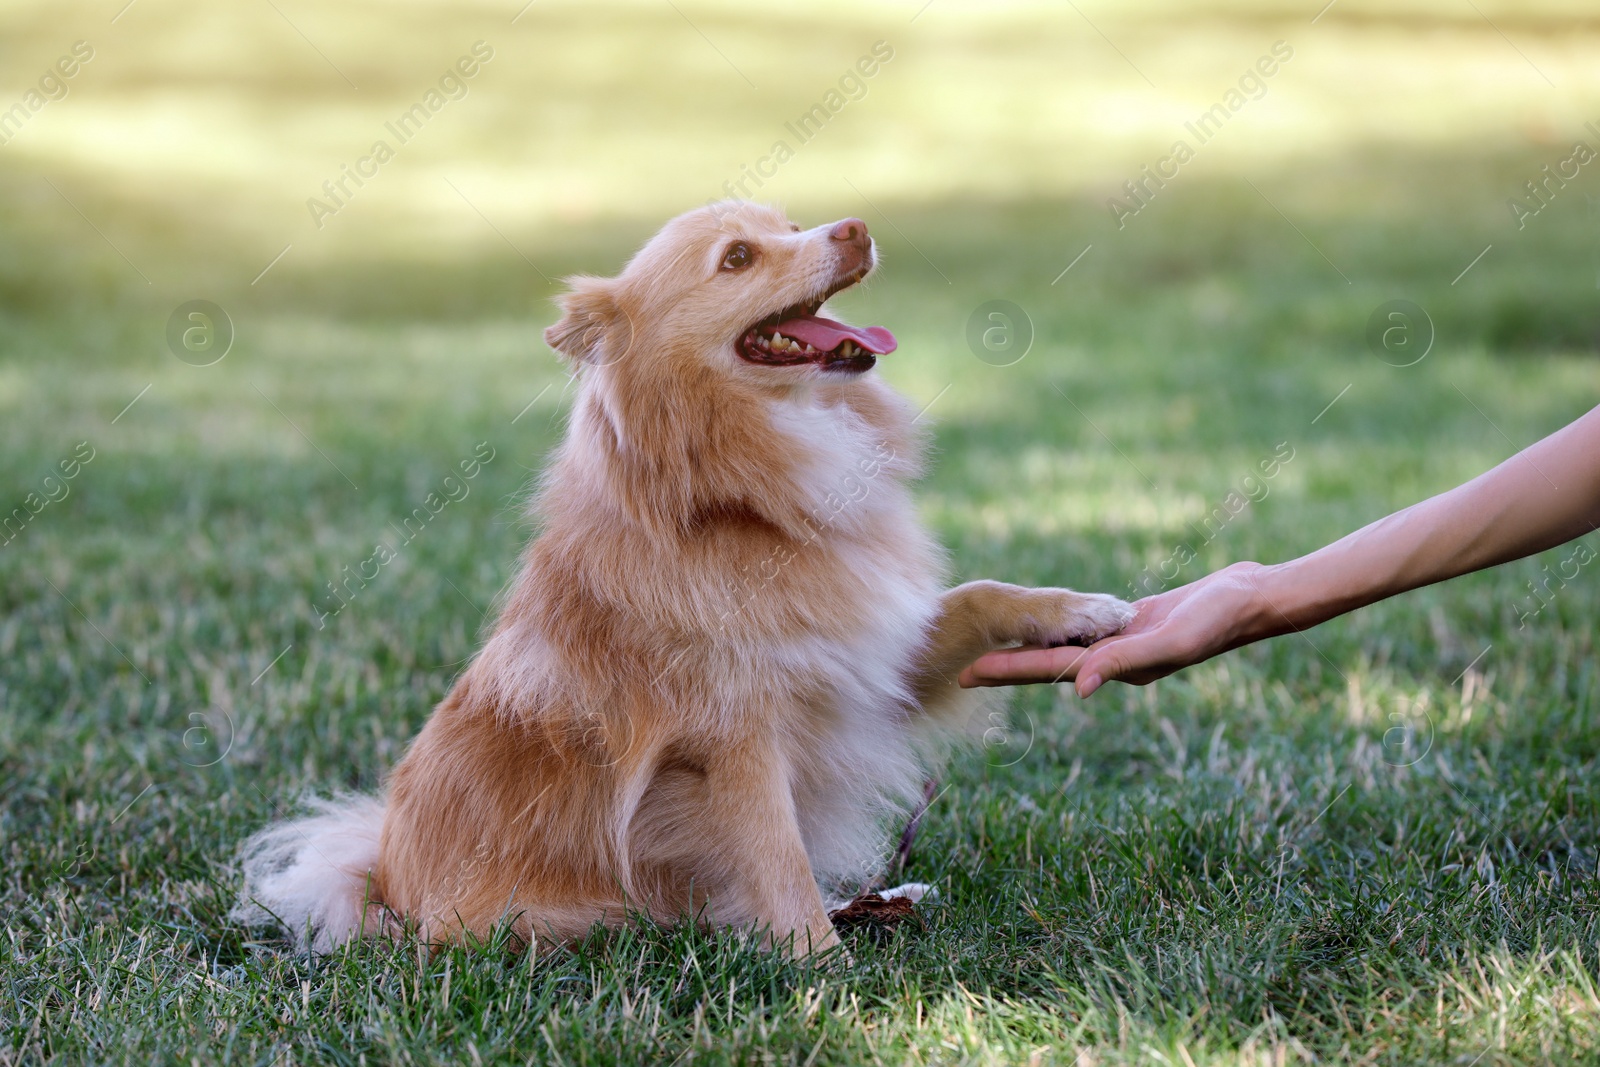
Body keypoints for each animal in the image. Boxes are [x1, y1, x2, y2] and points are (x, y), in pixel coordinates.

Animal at [233, 202, 1139, 959]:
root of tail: (382, 885)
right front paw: (822, 967)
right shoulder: (735, 739)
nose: (854, 226)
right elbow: (778, 859)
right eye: (737, 258)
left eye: (792, 225)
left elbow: (981, 593)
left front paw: (1080, 611)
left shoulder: (875, 658)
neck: (751, 501)